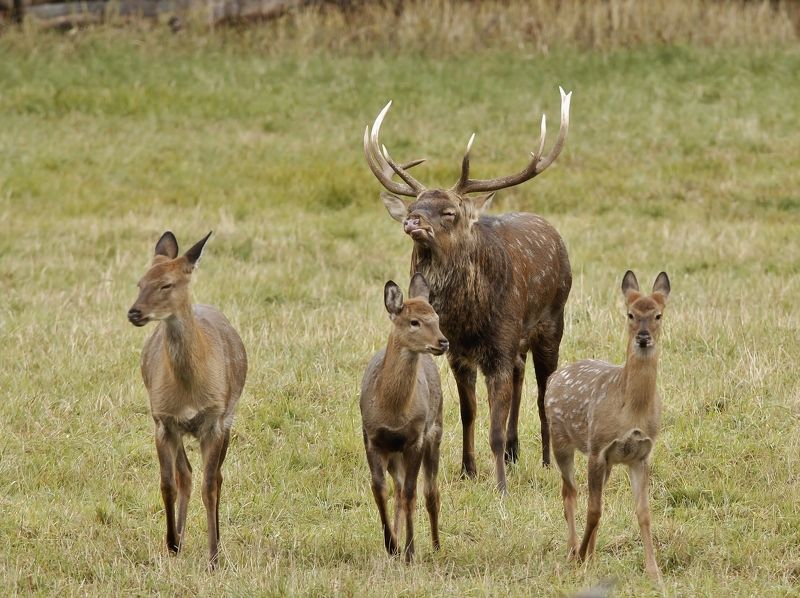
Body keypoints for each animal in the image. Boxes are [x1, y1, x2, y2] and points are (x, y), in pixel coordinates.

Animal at [127, 231, 247, 572]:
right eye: (140, 282)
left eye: (166, 284)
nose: (134, 312)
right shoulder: (163, 420)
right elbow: (168, 483)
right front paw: (171, 543)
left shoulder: (215, 421)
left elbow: (211, 486)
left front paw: (214, 557)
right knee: (186, 474)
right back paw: (178, 539)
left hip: (228, 418)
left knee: (215, 477)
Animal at [360, 274, 450, 564]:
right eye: (414, 322)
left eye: (437, 317)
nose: (443, 342)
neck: (392, 409)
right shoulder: (372, 437)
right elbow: (380, 490)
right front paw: (392, 545)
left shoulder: (416, 437)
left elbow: (413, 493)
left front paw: (410, 551)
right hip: (394, 454)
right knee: (398, 491)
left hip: (435, 431)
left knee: (430, 492)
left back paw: (435, 545)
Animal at [366, 88, 572, 492]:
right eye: (414, 206)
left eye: (450, 212)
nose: (413, 221)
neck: (468, 319)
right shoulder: (459, 354)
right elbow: (468, 414)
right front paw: (468, 470)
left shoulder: (498, 349)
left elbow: (494, 424)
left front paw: (500, 486)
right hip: (518, 341)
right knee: (520, 378)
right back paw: (514, 453)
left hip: (552, 322)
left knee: (544, 391)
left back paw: (544, 462)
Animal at [548, 272, 672, 580]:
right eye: (630, 314)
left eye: (658, 315)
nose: (643, 337)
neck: (632, 410)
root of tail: (555, 375)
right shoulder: (598, 447)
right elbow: (593, 510)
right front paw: (581, 556)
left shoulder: (640, 454)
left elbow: (643, 512)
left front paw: (654, 572)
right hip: (560, 439)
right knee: (569, 492)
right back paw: (573, 551)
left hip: (609, 463)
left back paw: (590, 554)